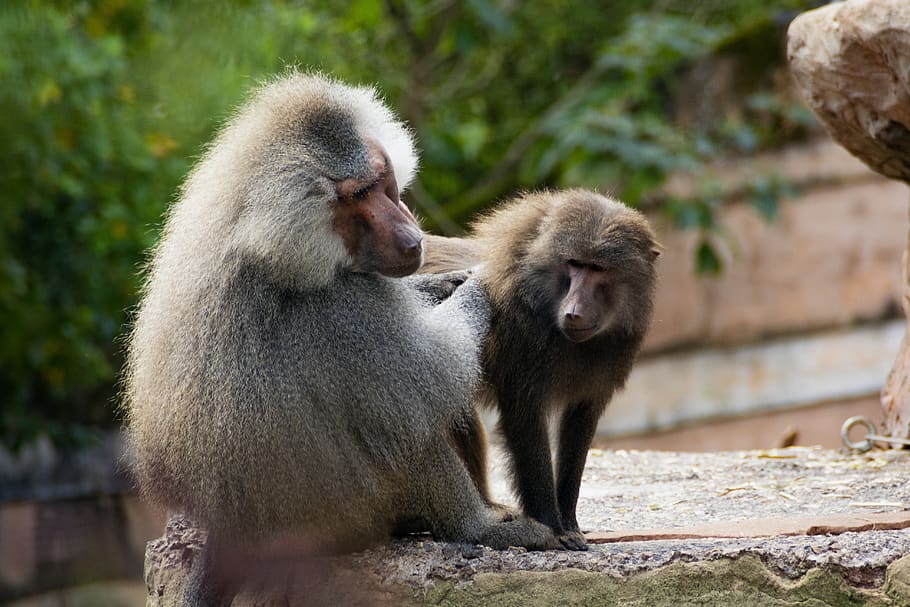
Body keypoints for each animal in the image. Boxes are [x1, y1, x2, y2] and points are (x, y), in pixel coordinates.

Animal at [122, 72, 557, 605]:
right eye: (357, 196)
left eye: (382, 181)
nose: (412, 238)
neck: (258, 231)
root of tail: (233, 534)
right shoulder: (342, 311)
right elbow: (431, 369)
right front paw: (479, 285)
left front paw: (440, 284)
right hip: (341, 518)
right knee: (400, 420)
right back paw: (478, 527)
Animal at [421, 189, 659, 551]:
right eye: (574, 264)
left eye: (597, 268)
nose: (574, 312)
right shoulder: (523, 349)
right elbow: (526, 423)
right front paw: (553, 528)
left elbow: (579, 425)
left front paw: (570, 523)